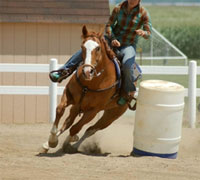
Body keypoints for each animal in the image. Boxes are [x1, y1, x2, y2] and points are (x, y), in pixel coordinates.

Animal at [39, 25, 135, 154]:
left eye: (98, 48)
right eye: (82, 47)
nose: (87, 71)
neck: (91, 83)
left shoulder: (93, 111)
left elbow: (76, 128)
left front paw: (68, 143)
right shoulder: (68, 94)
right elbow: (59, 110)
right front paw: (52, 140)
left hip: (110, 116)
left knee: (90, 129)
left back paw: (73, 145)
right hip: (76, 107)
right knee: (67, 123)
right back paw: (49, 144)